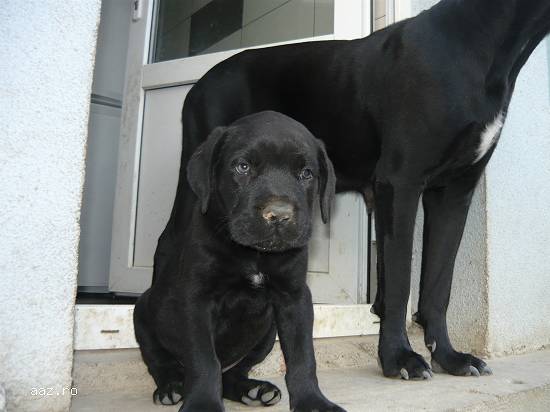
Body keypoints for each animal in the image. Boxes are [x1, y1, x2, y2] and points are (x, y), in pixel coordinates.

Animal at [135, 111, 344, 410]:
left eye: (306, 173)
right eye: (243, 167)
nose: (279, 215)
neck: (254, 254)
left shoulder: (294, 298)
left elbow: (303, 356)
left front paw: (312, 401)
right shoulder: (195, 300)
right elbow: (204, 361)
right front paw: (202, 404)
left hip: (267, 332)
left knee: (235, 372)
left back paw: (252, 390)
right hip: (143, 310)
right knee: (160, 360)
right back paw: (171, 387)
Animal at [157, 0, 550, 380]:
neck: (481, 40)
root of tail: (198, 83)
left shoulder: (454, 193)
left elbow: (439, 284)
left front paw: (449, 357)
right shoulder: (401, 183)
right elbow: (400, 282)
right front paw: (398, 357)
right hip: (200, 184)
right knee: (168, 241)